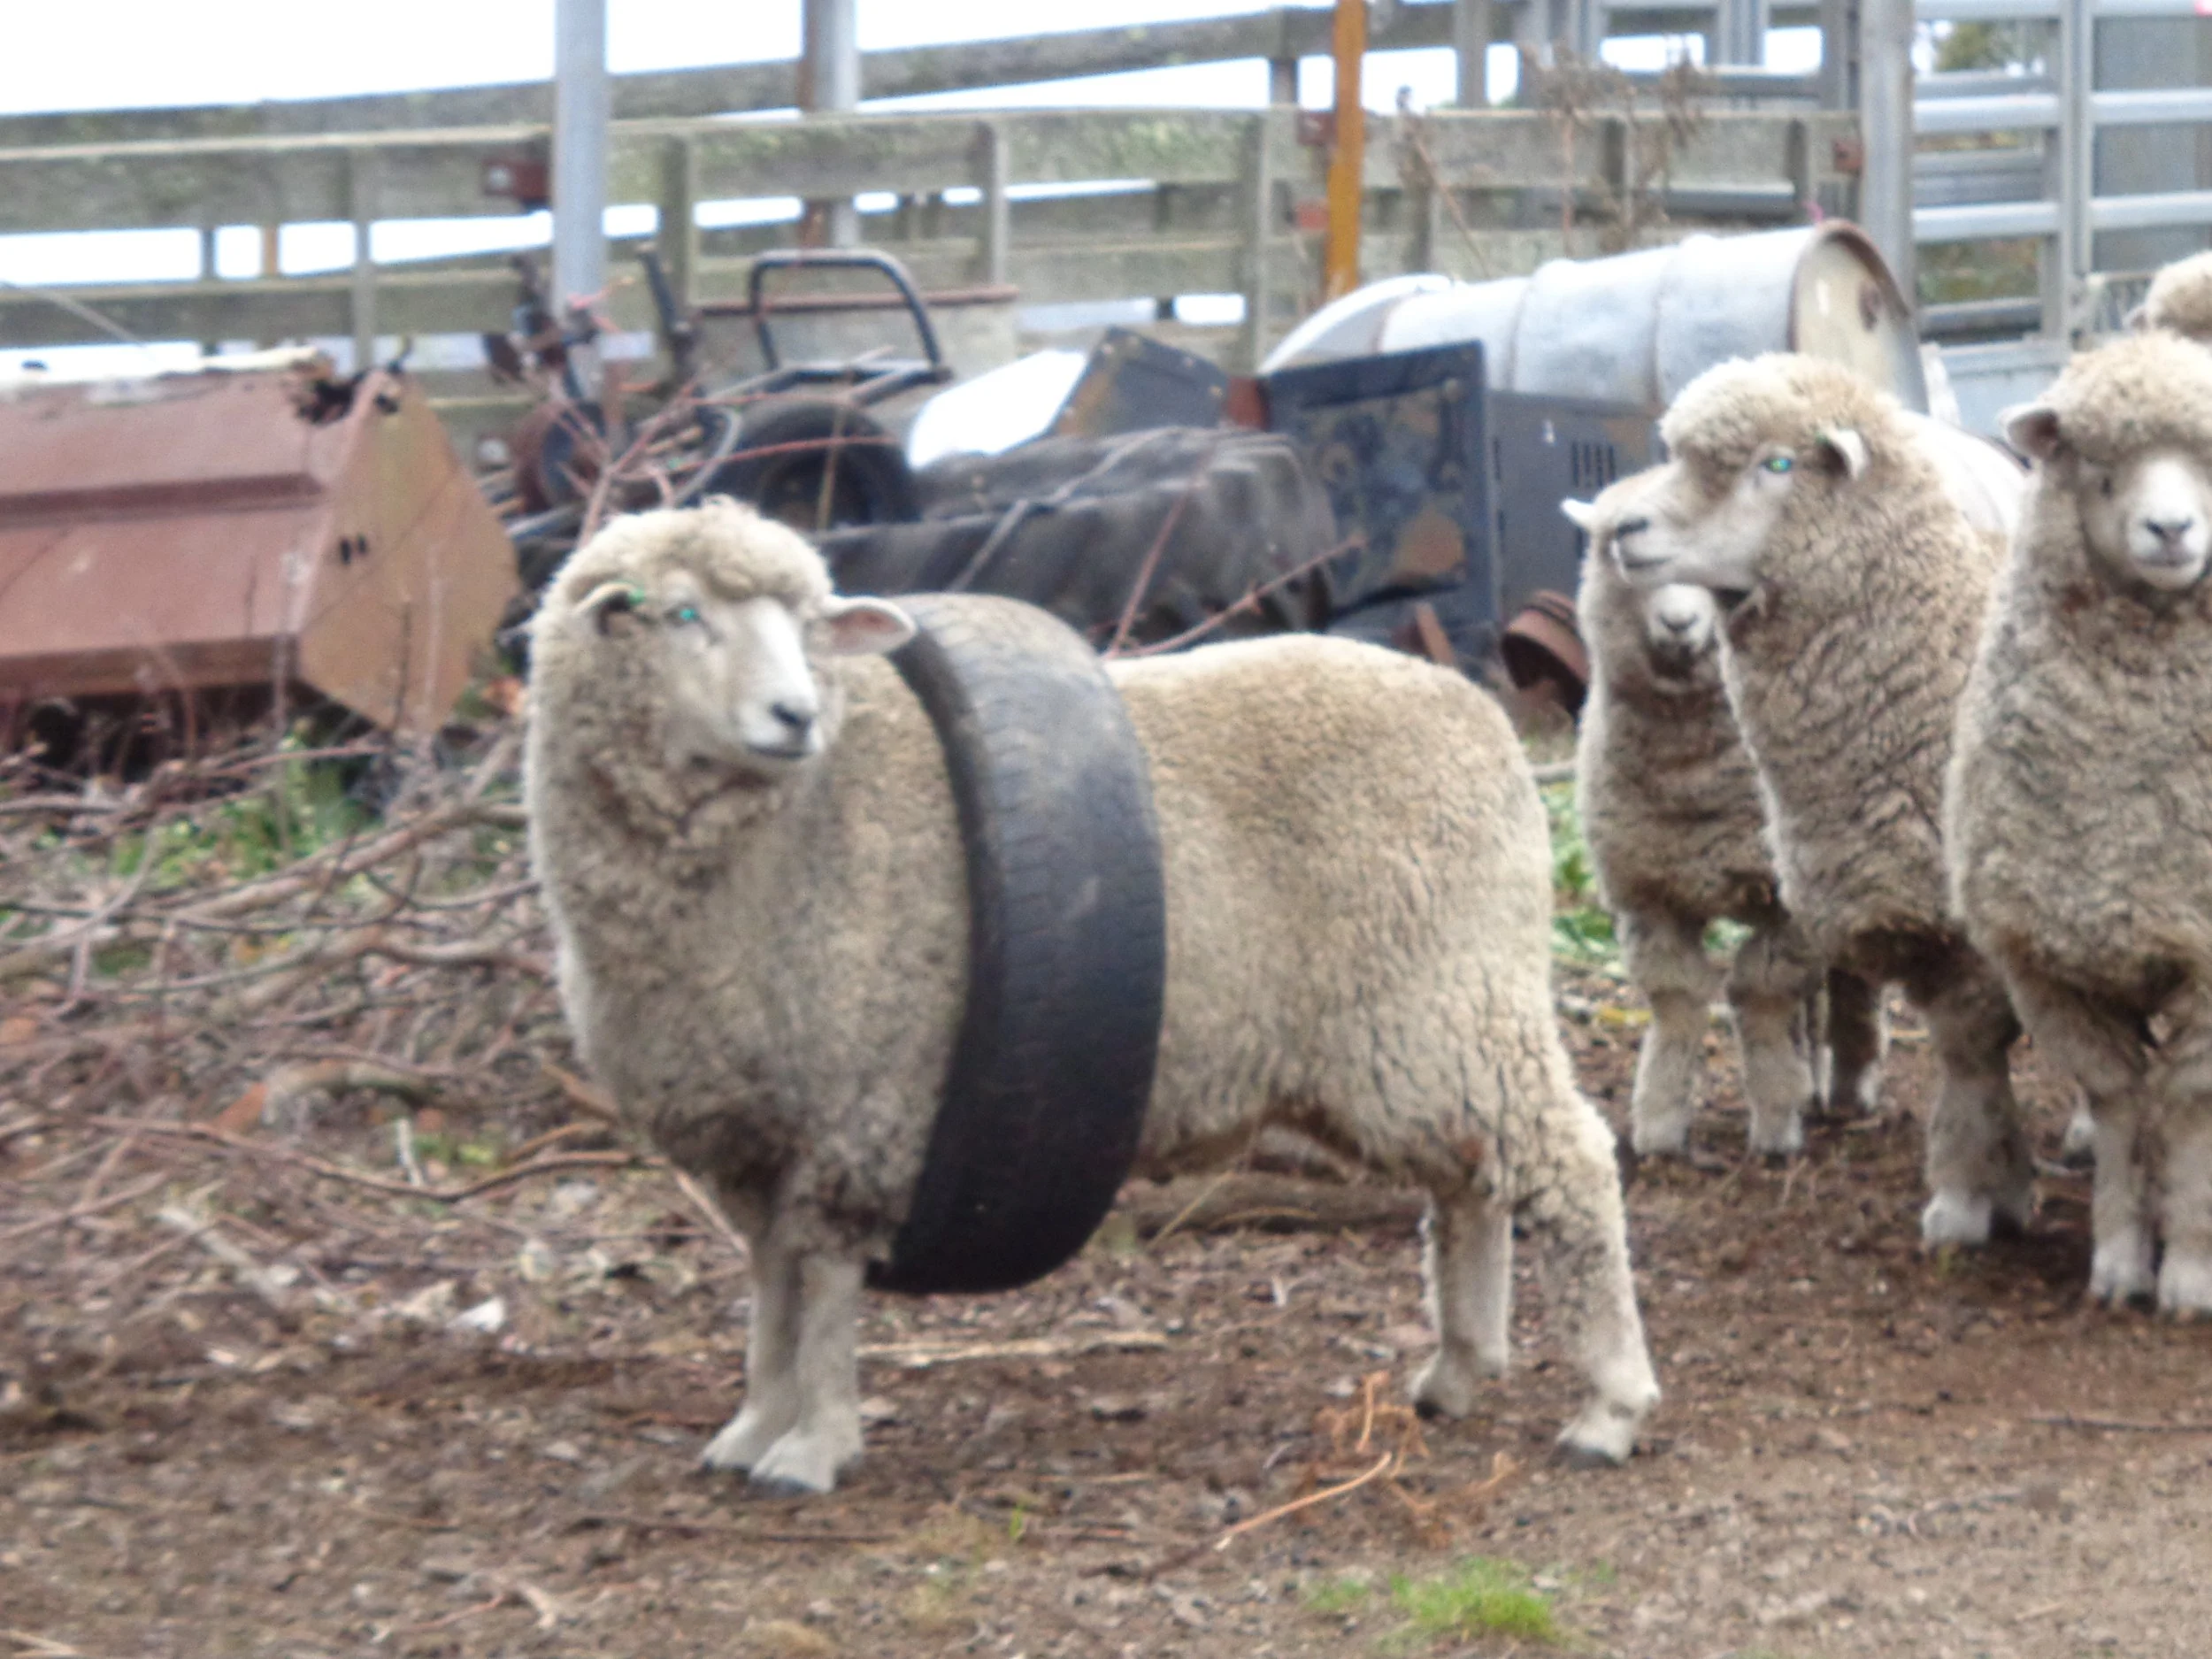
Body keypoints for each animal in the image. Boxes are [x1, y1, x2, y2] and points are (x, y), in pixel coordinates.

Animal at [523, 497, 1661, 1494]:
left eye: (812, 632)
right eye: (681, 616)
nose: (794, 715)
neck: (803, 816)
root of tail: (1479, 717)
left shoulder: (859, 1099)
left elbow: (828, 1286)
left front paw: (812, 1447)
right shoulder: (746, 1130)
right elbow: (770, 1287)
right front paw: (754, 1423)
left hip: (1450, 1003)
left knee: (1567, 1165)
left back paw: (1608, 1405)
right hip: (1406, 1041)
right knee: (1468, 1184)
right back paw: (1460, 1370)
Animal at [1564, 469, 1884, 1159]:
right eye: (1615, 547)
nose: (1680, 621)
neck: (1695, 786)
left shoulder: (1788, 906)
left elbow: (1757, 990)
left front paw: (1774, 1124)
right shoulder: (1646, 895)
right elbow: (1678, 996)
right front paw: (1659, 1123)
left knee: (1853, 975)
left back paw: (1849, 1083)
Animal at [1599, 353, 2034, 1248]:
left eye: (1777, 464)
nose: (1628, 530)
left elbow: (1972, 1048)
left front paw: (1965, 1202)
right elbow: (1971, 1051)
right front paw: (1997, 1187)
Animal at [1949, 328, 2212, 1315]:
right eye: (2099, 471)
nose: (2170, 531)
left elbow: (2189, 1108)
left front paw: (2190, 1272)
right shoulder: (2050, 963)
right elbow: (2123, 1103)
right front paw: (2120, 1258)